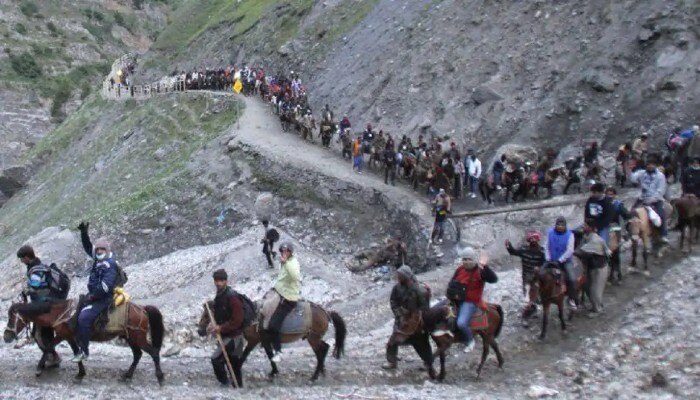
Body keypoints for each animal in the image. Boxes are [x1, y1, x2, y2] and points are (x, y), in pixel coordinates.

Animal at [3, 300, 164, 384]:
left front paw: (39, 369)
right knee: (138, 355)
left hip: (138, 337)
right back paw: (128, 375)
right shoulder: (69, 337)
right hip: (131, 338)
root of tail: (143, 309)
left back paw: (160, 377)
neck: (60, 313)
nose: (6, 337)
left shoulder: (62, 335)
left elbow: (48, 347)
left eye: (11, 317)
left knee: (153, 352)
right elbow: (76, 353)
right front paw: (81, 373)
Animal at [198, 300, 346, 382]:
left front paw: (236, 369)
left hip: (313, 338)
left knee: (322, 351)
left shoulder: (254, 340)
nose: (200, 331)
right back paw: (321, 371)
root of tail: (326, 312)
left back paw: (314, 376)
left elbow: (246, 356)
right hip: (314, 338)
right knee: (324, 349)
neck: (250, 317)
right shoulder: (263, 341)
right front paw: (273, 372)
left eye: (206, 315)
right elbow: (269, 355)